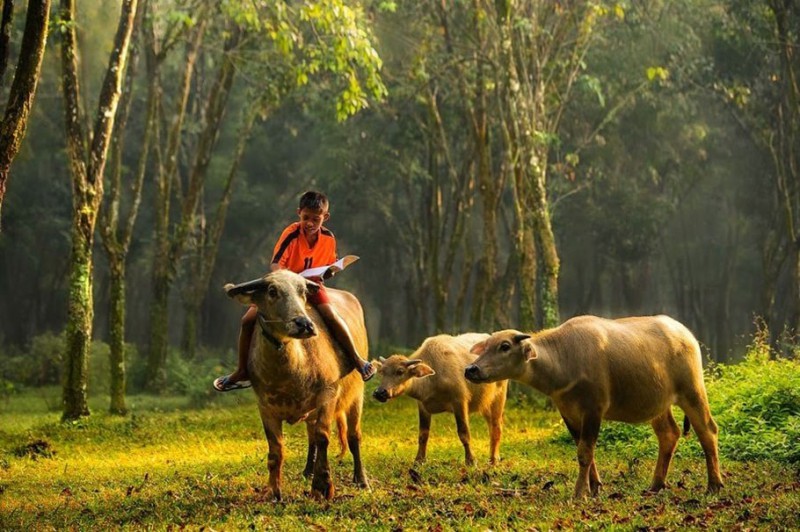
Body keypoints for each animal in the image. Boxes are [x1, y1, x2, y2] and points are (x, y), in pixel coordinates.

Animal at [225, 272, 368, 500]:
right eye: (272, 291)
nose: (304, 324)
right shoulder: (265, 406)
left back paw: (361, 480)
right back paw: (308, 471)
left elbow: (323, 437)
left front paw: (322, 486)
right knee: (311, 436)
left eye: (302, 291)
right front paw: (273, 491)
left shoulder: (328, 394)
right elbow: (276, 449)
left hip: (356, 395)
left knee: (353, 436)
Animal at [370, 332, 506, 466]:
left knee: (496, 427)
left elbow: (464, 433)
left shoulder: (459, 401)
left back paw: (493, 460)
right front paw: (419, 460)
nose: (380, 392)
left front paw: (471, 460)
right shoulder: (423, 406)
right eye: (382, 372)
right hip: (485, 404)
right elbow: (423, 434)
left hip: (498, 398)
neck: (434, 379)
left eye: (400, 371)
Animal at [462, 314, 724, 496]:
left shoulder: (594, 409)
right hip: (659, 403)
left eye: (505, 346)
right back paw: (656, 485)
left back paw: (714, 485)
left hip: (692, 390)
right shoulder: (568, 411)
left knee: (707, 430)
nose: (471, 369)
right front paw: (595, 486)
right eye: (486, 346)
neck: (565, 361)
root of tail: (686, 334)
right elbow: (584, 450)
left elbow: (585, 452)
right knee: (669, 434)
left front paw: (580, 492)